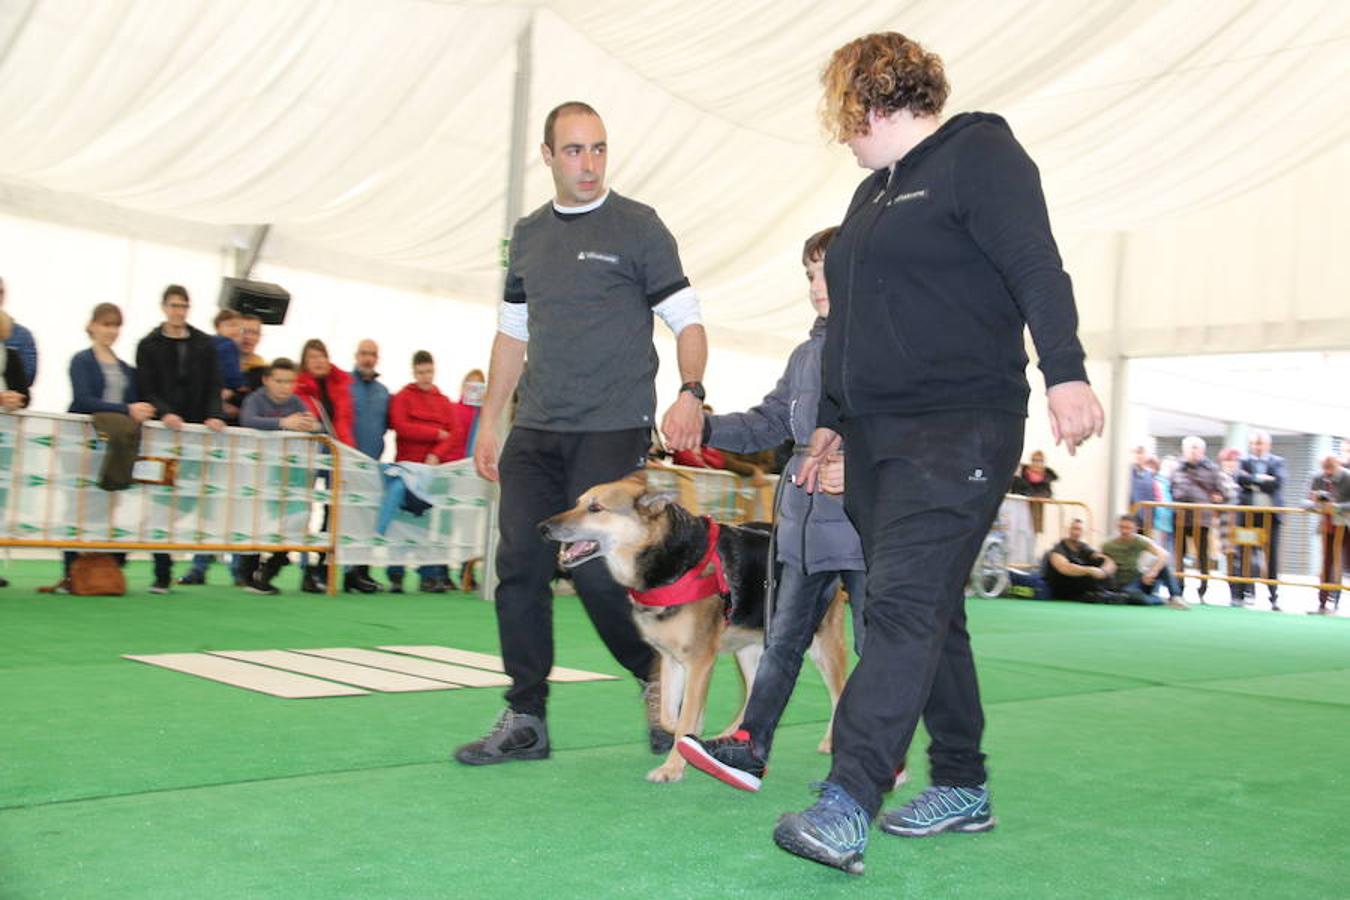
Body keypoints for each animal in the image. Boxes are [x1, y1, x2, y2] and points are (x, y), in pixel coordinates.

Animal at [534, 472, 842, 782]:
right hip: (749, 647)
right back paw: (725, 740)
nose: (543, 528)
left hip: (820, 642)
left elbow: (684, 718)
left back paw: (829, 742)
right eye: (577, 503)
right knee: (752, 695)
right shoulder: (671, 659)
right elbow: (671, 717)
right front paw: (693, 733)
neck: (669, 561)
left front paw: (671, 768)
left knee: (838, 693)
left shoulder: (699, 661)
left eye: (595, 508)